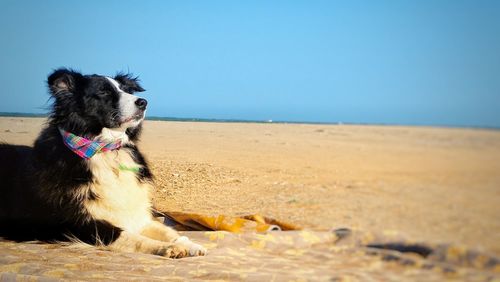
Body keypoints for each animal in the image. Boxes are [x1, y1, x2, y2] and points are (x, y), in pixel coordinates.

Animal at [0, 68, 206, 258]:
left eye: (126, 89)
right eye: (104, 92)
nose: (143, 102)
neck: (105, 149)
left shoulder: (138, 214)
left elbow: (169, 231)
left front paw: (190, 245)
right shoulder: (77, 223)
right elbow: (129, 236)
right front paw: (167, 247)